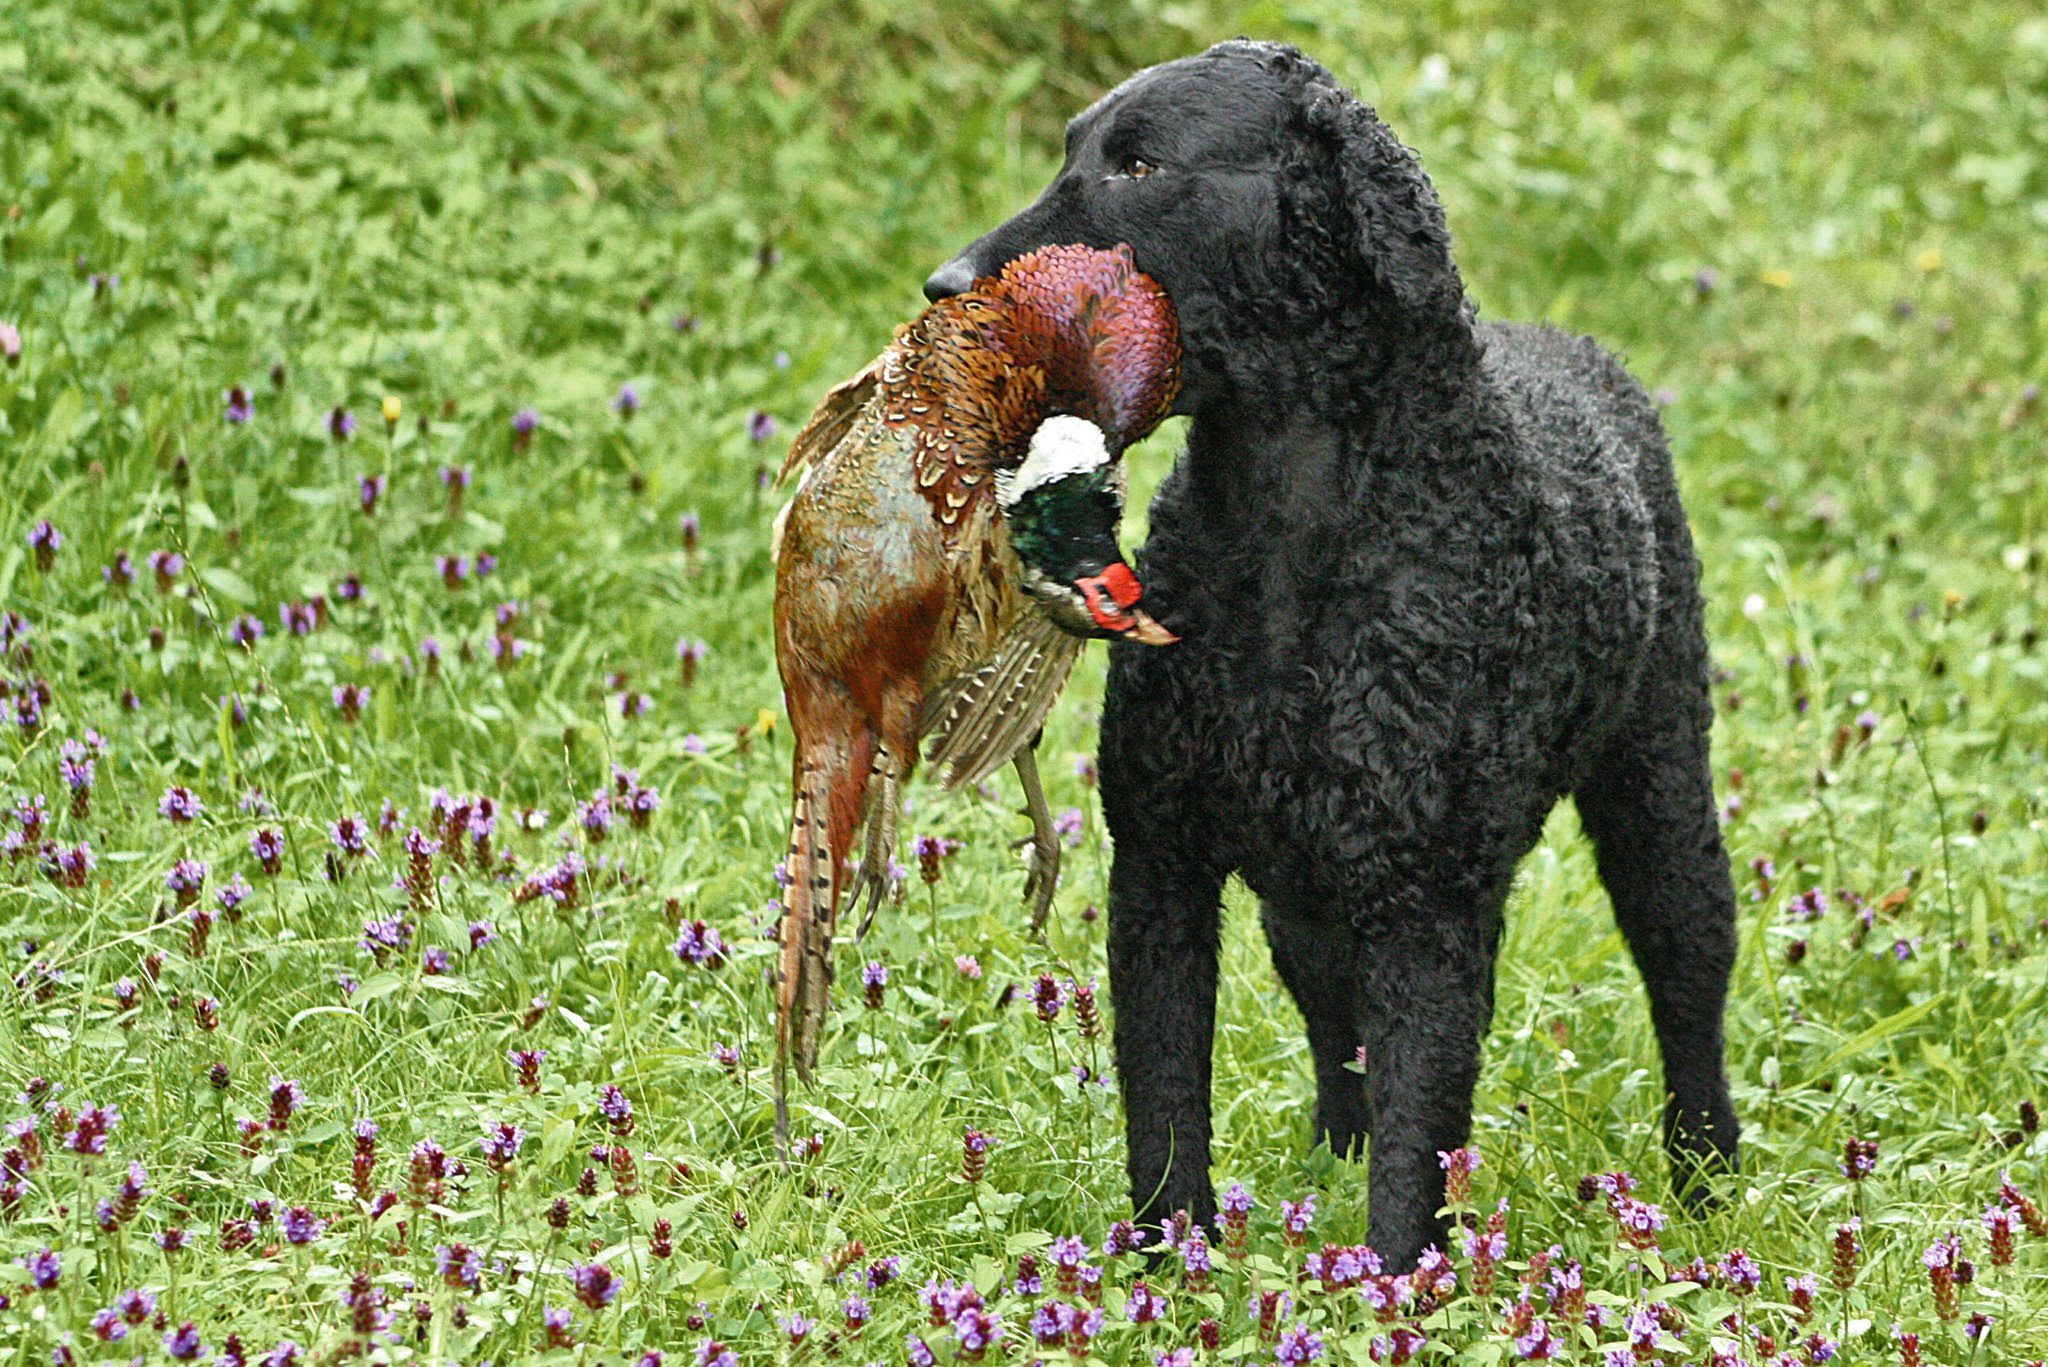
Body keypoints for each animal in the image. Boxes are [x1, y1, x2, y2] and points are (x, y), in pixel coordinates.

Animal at [929, 37, 1744, 1270]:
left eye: (1139, 164)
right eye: (1073, 149)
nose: (942, 285)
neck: (1291, 533)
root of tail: (1576, 348)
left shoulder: (1431, 912)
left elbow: (1421, 1141)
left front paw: (1396, 1283)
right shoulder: (1161, 862)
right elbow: (1164, 1106)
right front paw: (1165, 1271)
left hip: (1657, 790)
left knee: (1687, 979)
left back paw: (1704, 1178)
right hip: (1307, 901)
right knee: (1336, 1029)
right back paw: (1331, 1157)